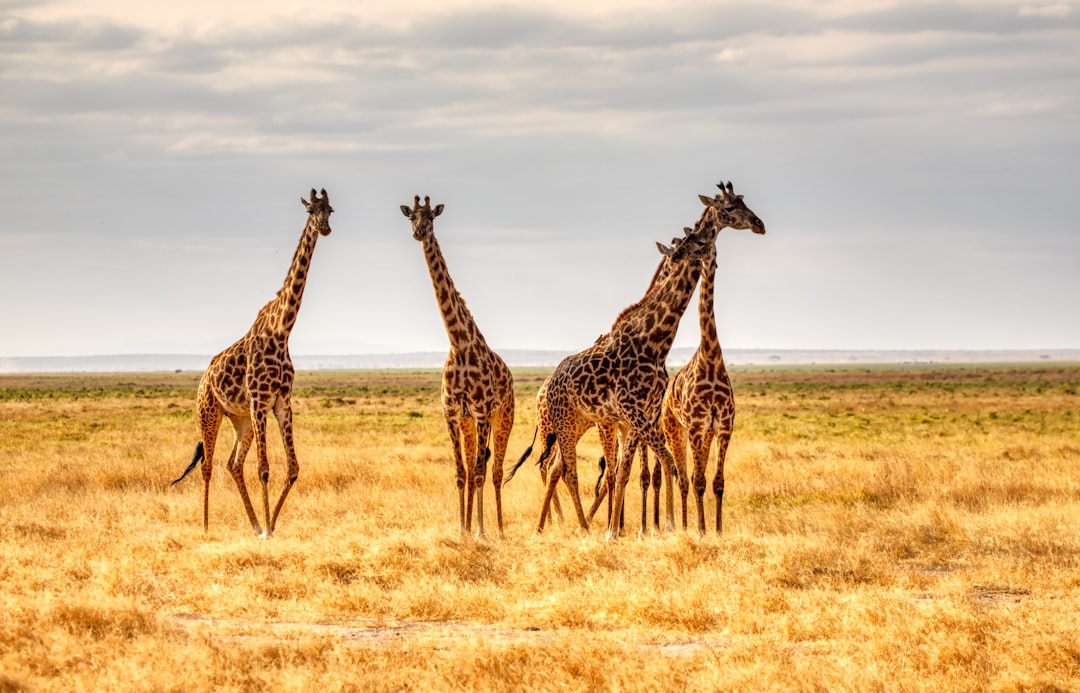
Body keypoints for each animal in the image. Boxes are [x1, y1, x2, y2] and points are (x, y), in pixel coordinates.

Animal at [170, 184, 332, 535]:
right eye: (310, 210)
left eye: (330, 210)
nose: (325, 228)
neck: (282, 330)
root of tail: (203, 377)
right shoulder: (260, 400)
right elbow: (264, 468)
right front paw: (269, 530)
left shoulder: (281, 401)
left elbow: (293, 467)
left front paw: (269, 526)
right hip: (209, 411)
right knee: (207, 465)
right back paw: (206, 527)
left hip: (240, 419)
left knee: (233, 463)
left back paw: (254, 524)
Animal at [401, 194, 514, 539]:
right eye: (411, 216)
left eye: (431, 217)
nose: (419, 231)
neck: (459, 343)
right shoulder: (452, 412)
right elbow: (461, 472)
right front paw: (462, 530)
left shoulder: (481, 412)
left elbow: (478, 472)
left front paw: (480, 532)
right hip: (468, 423)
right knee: (477, 466)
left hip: (503, 417)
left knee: (495, 470)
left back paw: (500, 529)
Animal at [660, 179, 764, 535]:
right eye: (729, 206)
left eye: (702, 240)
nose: (760, 224)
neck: (711, 356)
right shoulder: (696, 426)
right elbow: (698, 481)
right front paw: (702, 531)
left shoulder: (723, 427)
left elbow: (718, 482)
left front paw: (717, 530)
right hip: (675, 430)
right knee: (683, 478)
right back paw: (684, 526)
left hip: (700, 433)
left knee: (693, 477)